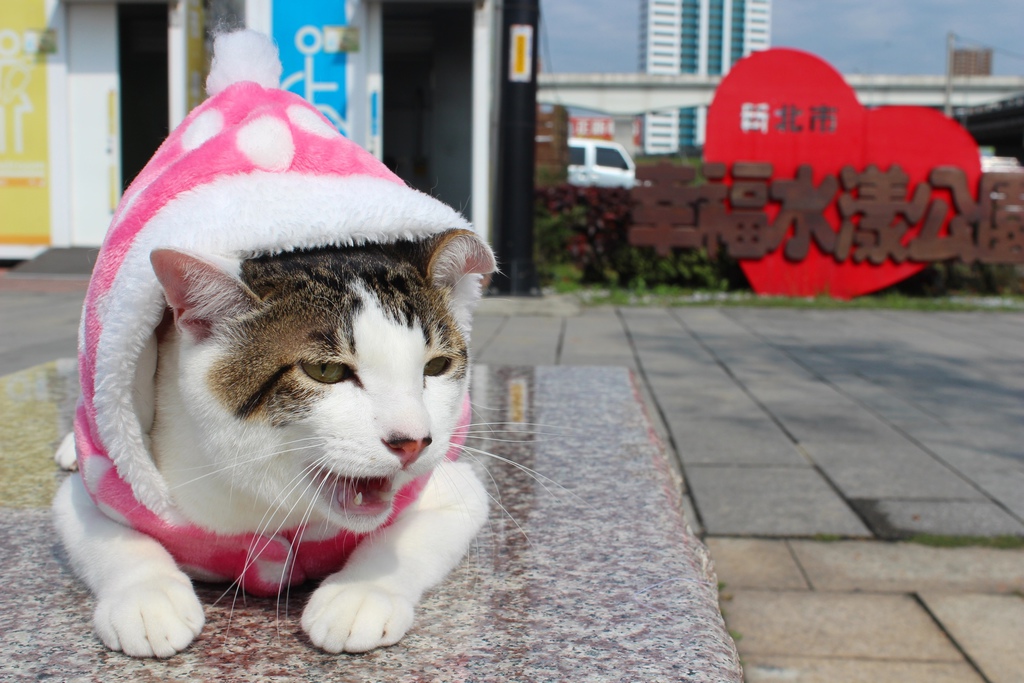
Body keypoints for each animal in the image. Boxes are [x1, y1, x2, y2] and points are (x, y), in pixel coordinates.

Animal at [54, 228, 497, 655]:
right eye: (325, 371)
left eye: (437, 366)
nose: (413, 442)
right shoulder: (104, 485)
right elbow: (112, 538)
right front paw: (148, 599)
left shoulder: (456, 490)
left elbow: (410, 536)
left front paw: (358, 594)